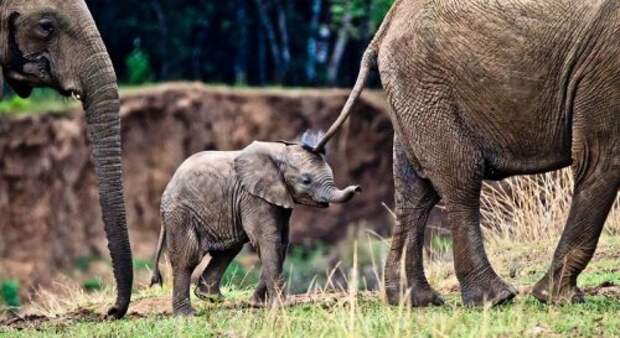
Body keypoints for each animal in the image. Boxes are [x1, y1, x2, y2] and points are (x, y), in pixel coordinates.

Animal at [151, 134, 360, 314]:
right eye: (306, 180)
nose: (358, 188)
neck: (279, 154)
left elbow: (280, 243)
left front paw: (257, 304)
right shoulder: (253, 197)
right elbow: (268, 239)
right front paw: (281, 307)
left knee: (230, 248)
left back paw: (211, 298)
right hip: (181, 214)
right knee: (187, 258)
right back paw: (187, 315)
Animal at [318, 0, 616, 306]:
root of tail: (383, 29)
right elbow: (601, 158)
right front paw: (558, 298)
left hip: (412, 93)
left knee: (415, 192)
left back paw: (414, 300)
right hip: (427, 87)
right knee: (460, 182)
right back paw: (494, 298)